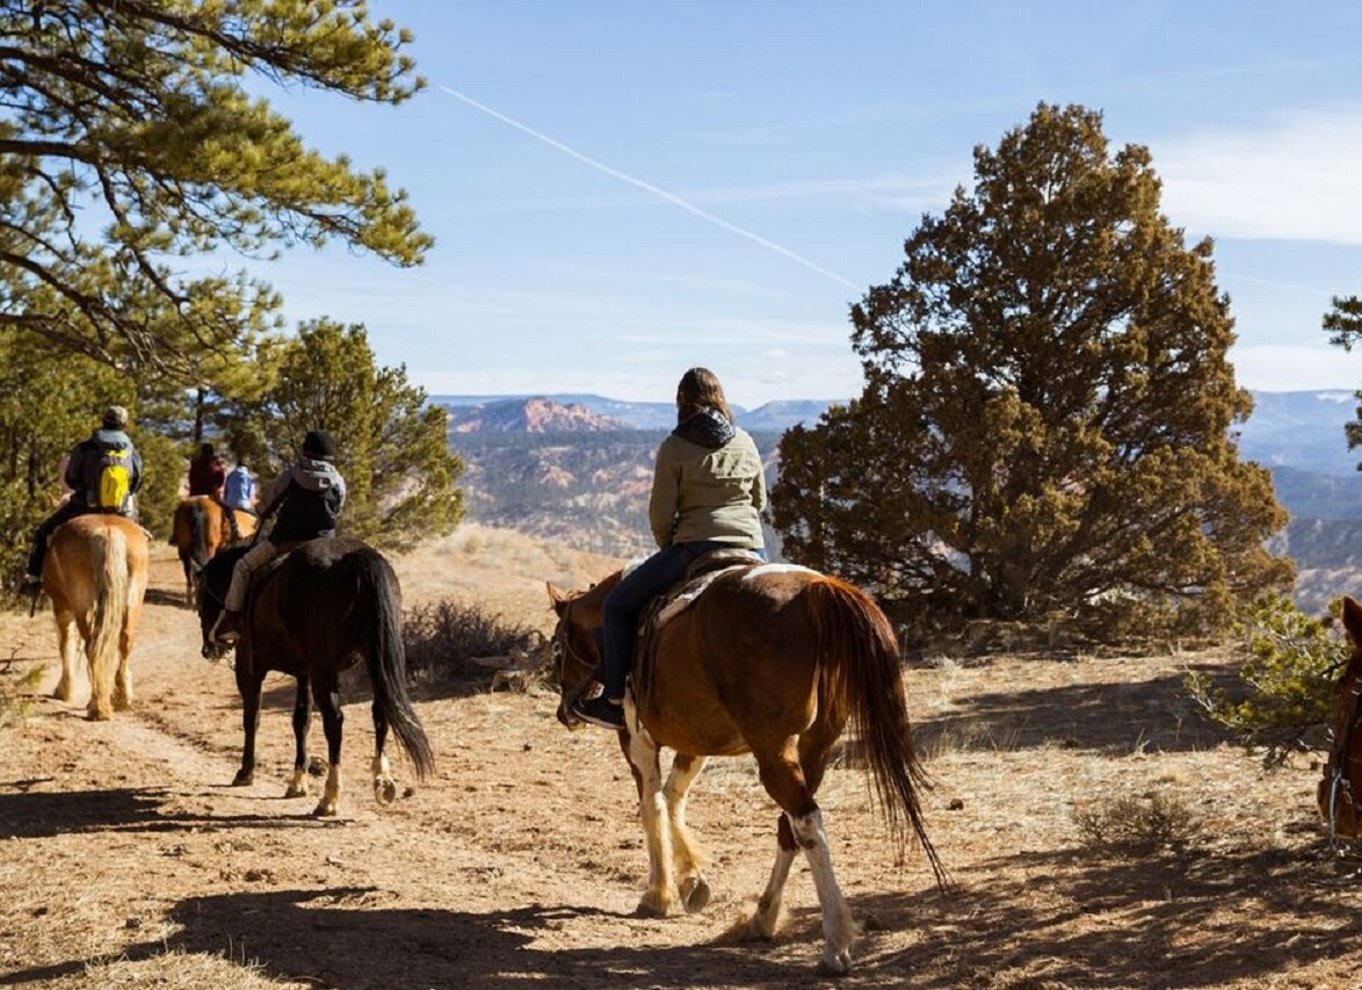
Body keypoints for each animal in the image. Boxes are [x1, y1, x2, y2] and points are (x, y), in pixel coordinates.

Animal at [40, 512, 148, 719]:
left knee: (91, 646)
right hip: (133, 601)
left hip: (81, 604)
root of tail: (107, 532)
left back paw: (97, 706)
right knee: (124, 641)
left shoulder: (61, 607)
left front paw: (64, 690)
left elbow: (66, 645)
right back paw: (121, 698)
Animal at [194, 539, 430, 817]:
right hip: (372, 658)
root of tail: (355, 557)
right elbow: (301, 720)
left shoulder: (250, 669)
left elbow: (252, 719)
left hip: (324, 671)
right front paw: (297, 782)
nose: (207, 649)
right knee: (380, 711)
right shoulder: (304, 674)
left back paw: (329, 798)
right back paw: (382, 779)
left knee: (334, 721)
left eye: (201, 597)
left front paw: (245, 772)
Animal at [547, 561, 953, 969]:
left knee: (806, 822)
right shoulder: (697, 742)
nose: (565, 713)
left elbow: (653, 805)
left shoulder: (636, 740)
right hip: (815, 747)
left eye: (557, 648)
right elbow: (674, 797)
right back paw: (762, 918)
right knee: (791, 828)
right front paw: (691, 882)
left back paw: (835, 941)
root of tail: (817, 588)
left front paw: (659, 894)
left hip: (772, 748)